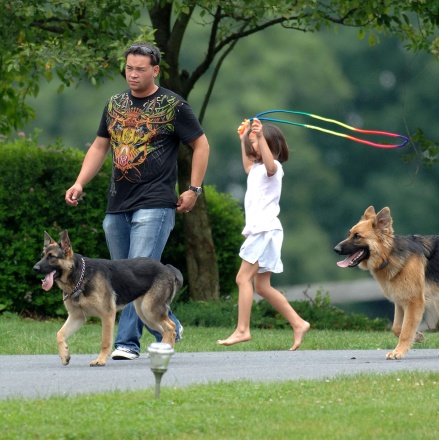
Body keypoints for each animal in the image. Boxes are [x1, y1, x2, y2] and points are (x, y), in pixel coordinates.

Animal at [33, 229, 182, 366]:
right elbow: (59, 334)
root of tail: (167, 268)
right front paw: (65, 355)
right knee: (167, 331)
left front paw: (100, 360)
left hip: (149, 310)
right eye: (42, 256)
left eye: (51, 257)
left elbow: (105, 341)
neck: (80, 276)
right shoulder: (77, 317)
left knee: (171, 327)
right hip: (145, 315)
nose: (35, 268)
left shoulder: (107, 315)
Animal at [336, 208, 438, 360]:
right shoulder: (401, 301)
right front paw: (417, 336)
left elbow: (406, 330)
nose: (335, 249)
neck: (388, 255)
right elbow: (397, 328)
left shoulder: (414, 302)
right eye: (349, 234)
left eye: (357, 236)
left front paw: (398, 352)